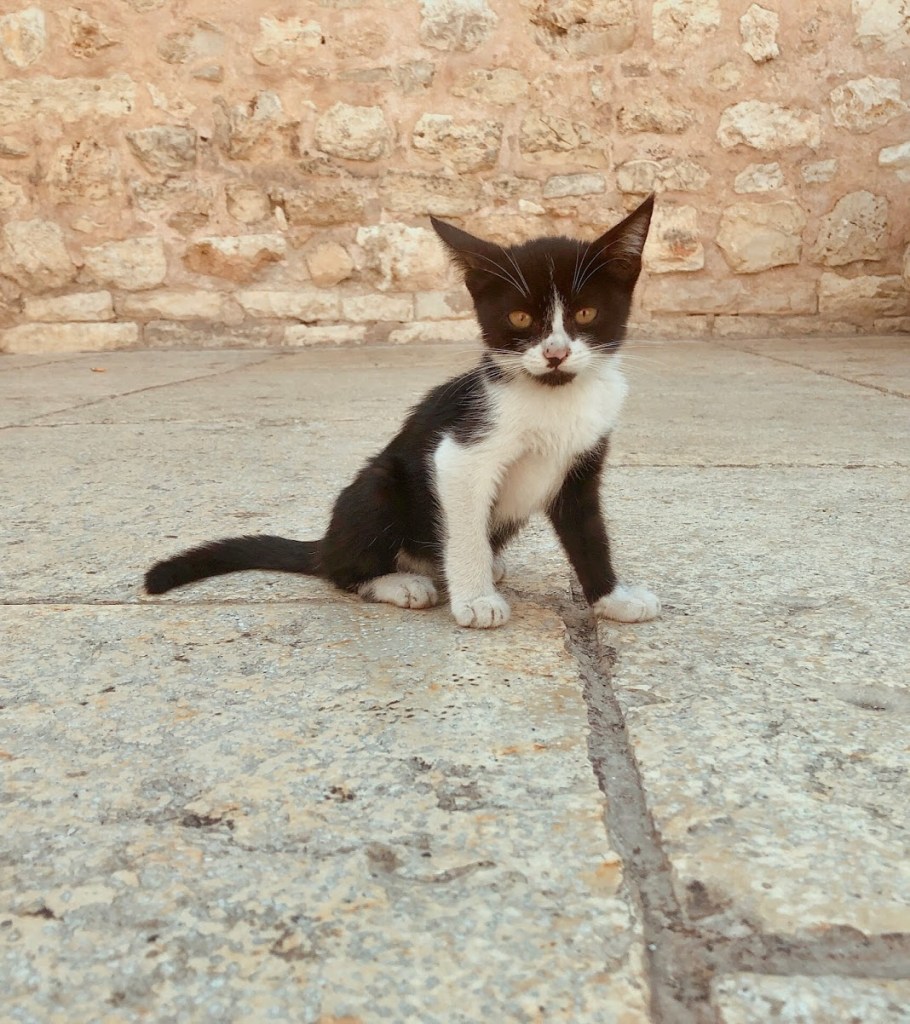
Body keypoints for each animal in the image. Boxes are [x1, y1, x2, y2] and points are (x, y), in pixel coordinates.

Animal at [144, 194, 661, 630]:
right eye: (520, 319)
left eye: (586, 314)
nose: (555, 354)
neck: (554, 398)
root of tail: (326, 542)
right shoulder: (459, 451)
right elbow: (464, 529)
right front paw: (476, 600)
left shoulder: (584, 461)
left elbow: (589, 534)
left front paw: (613, 598)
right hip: (378, 487)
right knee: (340, 568)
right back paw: (399, 582)